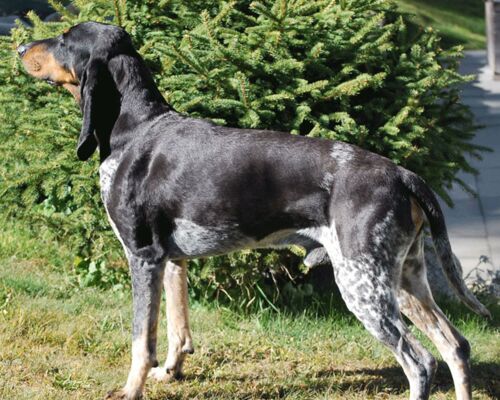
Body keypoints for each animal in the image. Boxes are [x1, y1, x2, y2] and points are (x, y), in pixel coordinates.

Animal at [18, 21, 490, 400]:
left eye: (65, 40)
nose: (20, 47)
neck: (135, 129)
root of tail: (400, 173)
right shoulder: (171, 261)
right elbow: (177, 328)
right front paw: (171, 373)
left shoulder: (143, 256)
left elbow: (141, 342)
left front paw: (131, 390)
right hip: (403, 280)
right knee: (456, 347)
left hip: (363, 288)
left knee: (421, 363)